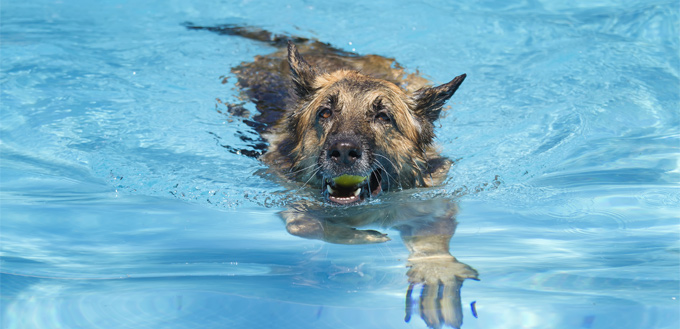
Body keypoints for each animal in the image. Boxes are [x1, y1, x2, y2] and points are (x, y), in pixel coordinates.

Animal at [186, 23, 478, 328]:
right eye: (325, 113)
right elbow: (306, 227)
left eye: (383, 117)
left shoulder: (430, 201)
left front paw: (437, 270)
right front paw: (355, 236)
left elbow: (433, 236)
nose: (344, 151)